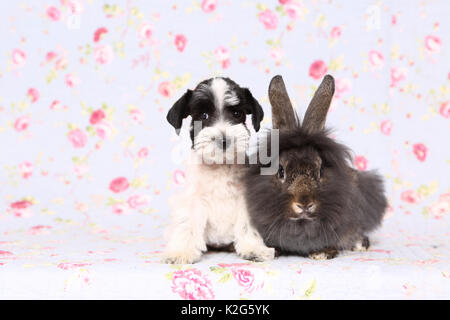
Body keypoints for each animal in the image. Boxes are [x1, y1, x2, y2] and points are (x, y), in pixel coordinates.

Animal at [162, 77, 274, 262]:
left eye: (237, 114)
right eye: (203, 115)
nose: (224, 140)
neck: (219, 165)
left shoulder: (245, 199)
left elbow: (246, 225)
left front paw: (253, 248)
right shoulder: (192, 199)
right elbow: (187, 224)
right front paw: (182, 251)